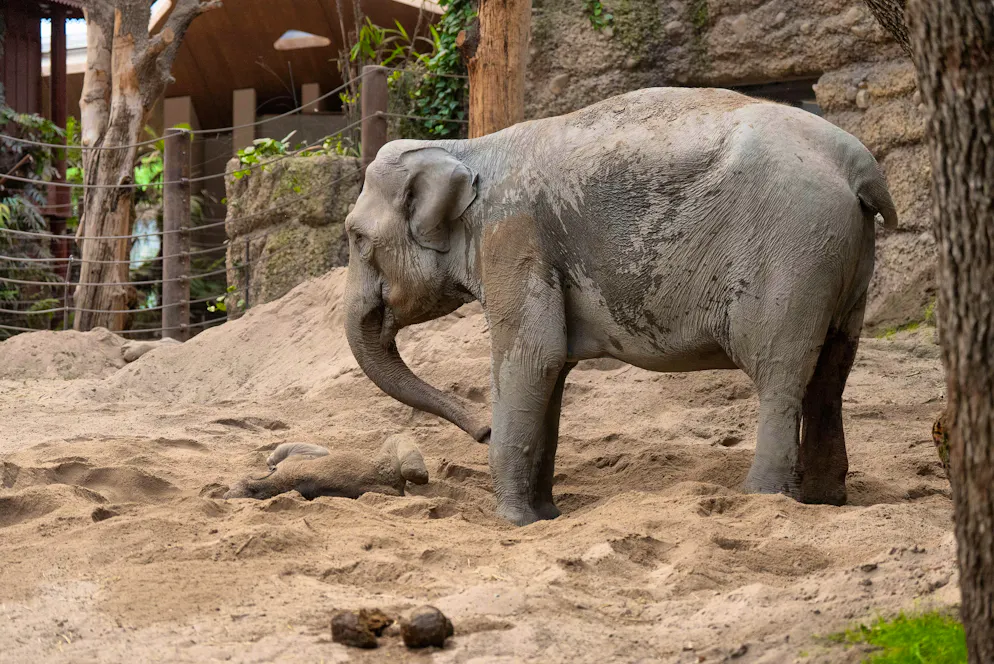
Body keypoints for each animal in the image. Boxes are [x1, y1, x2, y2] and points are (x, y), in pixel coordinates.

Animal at [343, 87, 897, 526]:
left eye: (356, 237)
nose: (481, 429)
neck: (469, 150)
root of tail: (860, 167)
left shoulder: (513, 235)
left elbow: (533, 358)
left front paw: (514, 523)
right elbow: (552, 370)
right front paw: (547, 516)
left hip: (794, 251)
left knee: (780, 373)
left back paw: (764, 500)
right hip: (844, 260)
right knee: (832, 372)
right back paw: (826, 502)